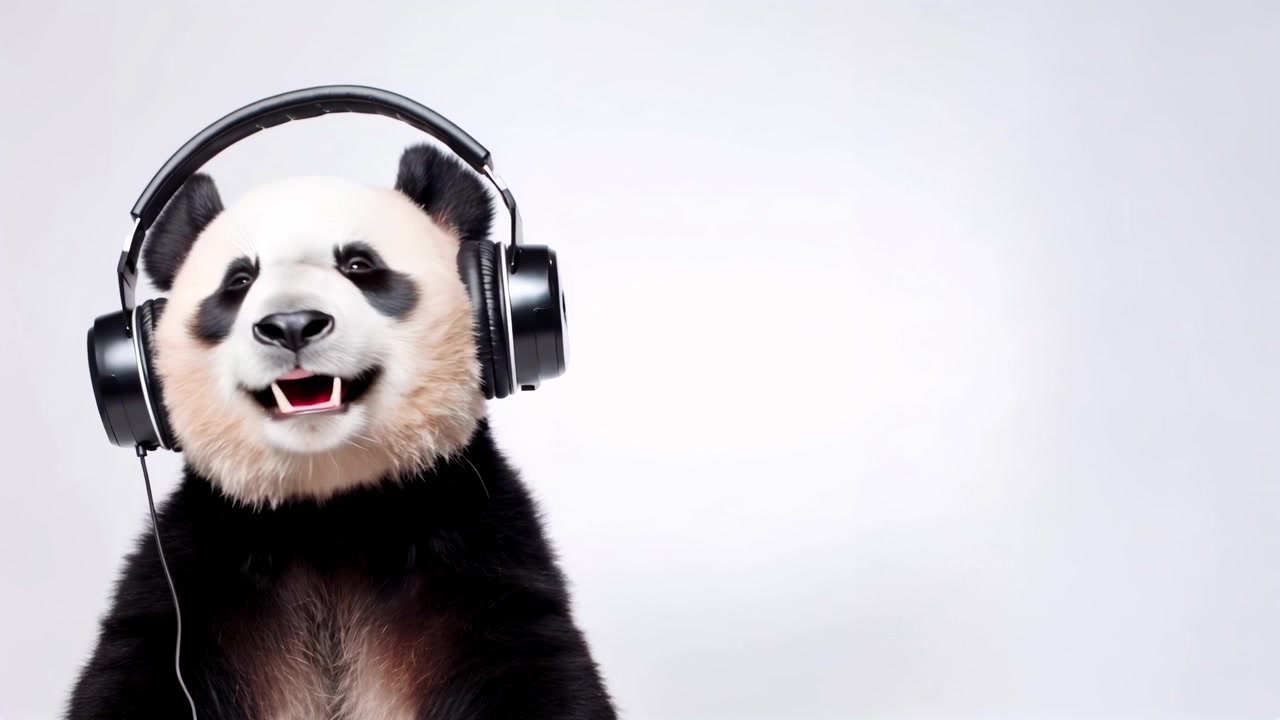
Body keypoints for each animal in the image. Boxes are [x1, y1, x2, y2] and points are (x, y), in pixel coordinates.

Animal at [67, 144, 617, 719]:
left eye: (358, 265)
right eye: (239, 281)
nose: (291, 325)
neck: (330, 511)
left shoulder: (480, 553)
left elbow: (537, 667)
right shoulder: (195, 575)